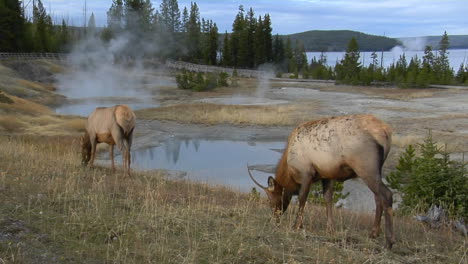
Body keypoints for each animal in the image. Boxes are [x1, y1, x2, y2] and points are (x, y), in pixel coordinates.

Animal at [249, 114, 394, 249]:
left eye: (270, 199)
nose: (275, 218)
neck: (290, 170)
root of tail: (386, 131)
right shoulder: (327, 175)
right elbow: (328, 198)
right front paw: (330, 228)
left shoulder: (306, 173)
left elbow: (302, 199)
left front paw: (297, 225)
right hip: (376, 169)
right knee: (377, 197)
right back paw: (373, 233)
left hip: (365, 167)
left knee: (386, 194)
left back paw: (389, 242)